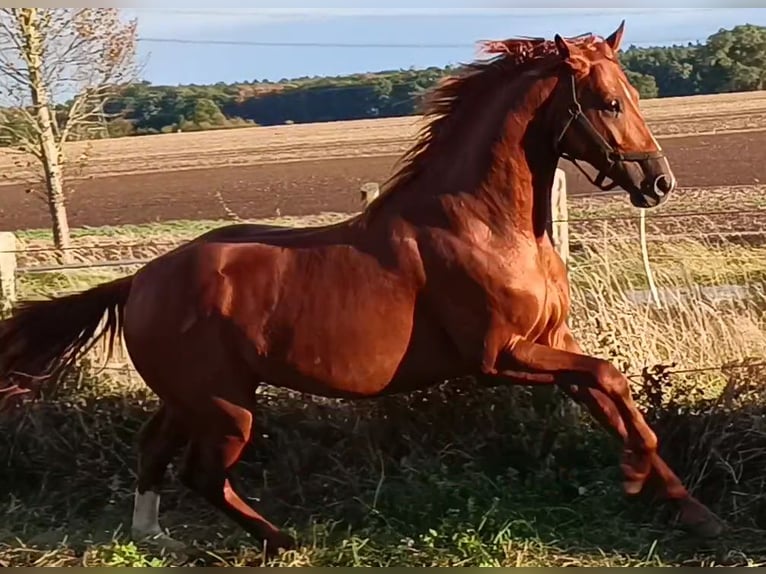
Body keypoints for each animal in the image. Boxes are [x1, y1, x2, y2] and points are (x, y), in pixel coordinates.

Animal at [0, 22, 724, 556]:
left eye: (633, 95)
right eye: (609, 103)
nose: (659, 182)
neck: (485, 224)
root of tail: (139, 280)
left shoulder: (551, 342)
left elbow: (612, 396)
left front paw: (691, 508)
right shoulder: (503, 357)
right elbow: (609, 379)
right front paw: (638, 477)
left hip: (189, 400)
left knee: (152, 451)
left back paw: (157, 539)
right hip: (226, 406)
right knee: (201, 474)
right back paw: (280, 540)